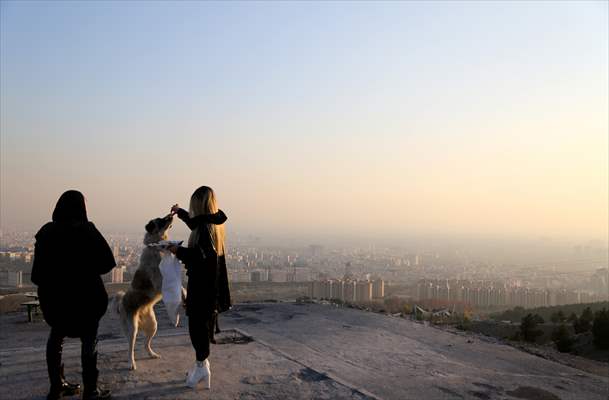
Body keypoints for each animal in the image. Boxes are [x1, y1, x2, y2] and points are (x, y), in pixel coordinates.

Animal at [114, 214, 173, 370]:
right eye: (161, 220)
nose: (170, 216)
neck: (157, 247)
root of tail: (121, 303)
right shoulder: (159, 281)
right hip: (132, 328)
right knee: (130, 348)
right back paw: (131, 363)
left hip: (153, 325)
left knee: (146, 344)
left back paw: (152, 354)